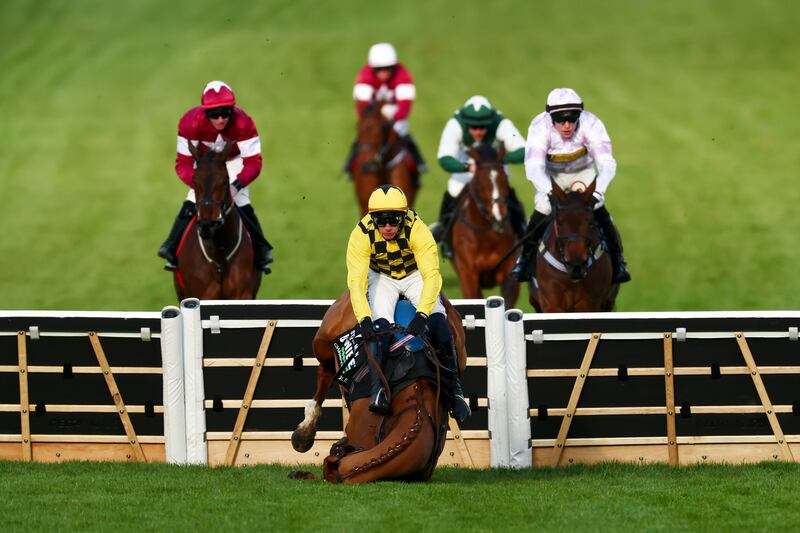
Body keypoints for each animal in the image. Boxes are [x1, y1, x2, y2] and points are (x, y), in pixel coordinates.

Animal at [450, 144, 522, 307]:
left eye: (505, 179)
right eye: (479, 183)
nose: (499, 218)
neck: (487, 238)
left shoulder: (508, 274)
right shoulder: (468, 276)